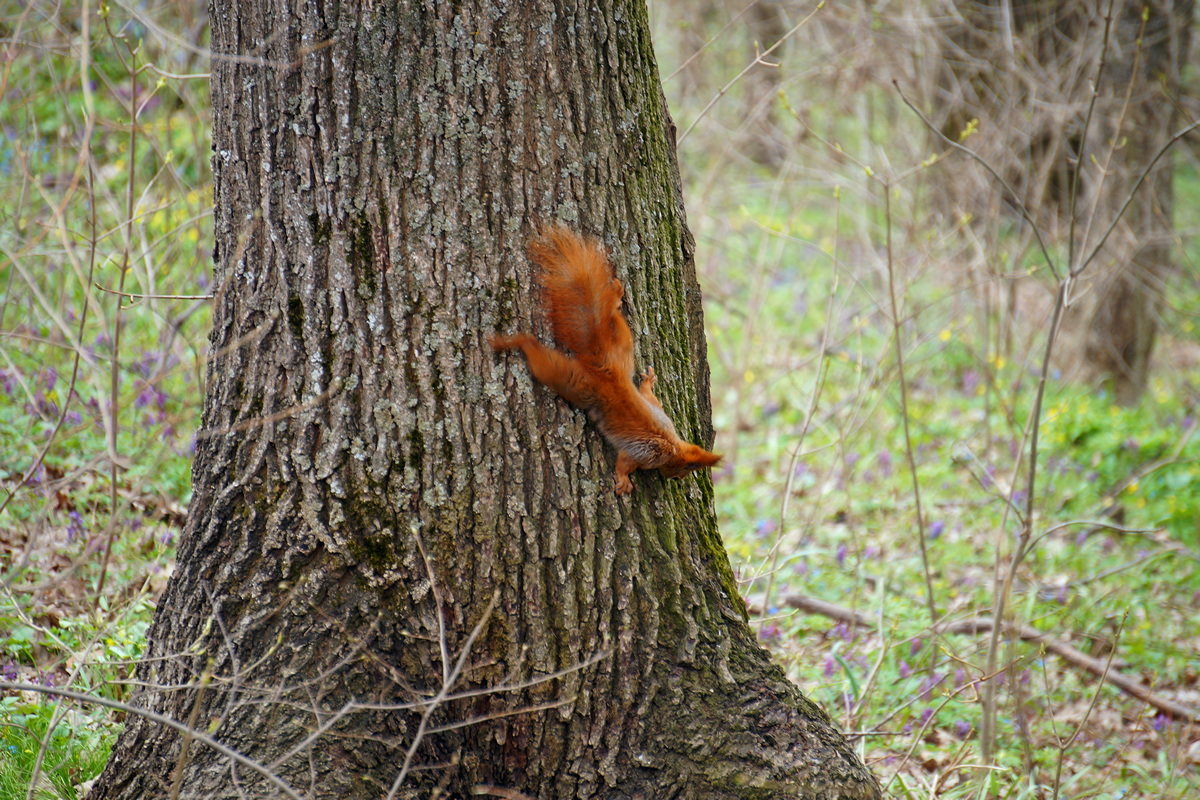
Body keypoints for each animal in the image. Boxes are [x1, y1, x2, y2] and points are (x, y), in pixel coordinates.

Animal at [489, 225, 715, 494]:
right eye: (684, 469)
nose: (676, 479)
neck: (672, 445)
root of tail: (606, 370)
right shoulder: (644, 453)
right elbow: (624, 462)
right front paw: (623, 481)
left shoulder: (661, 417)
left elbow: (650, 397)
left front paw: (648, 381)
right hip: (572, 380)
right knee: (536, 352)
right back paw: (511, 342)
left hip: (622, 344)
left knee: (612, 316)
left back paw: (616, 294)